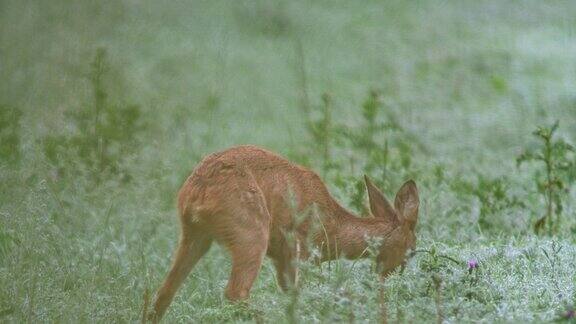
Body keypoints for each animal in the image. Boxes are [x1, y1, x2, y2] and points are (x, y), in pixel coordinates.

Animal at [148, 145, 418, 322]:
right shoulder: (302, 251)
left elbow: (291, 293)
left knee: (163, 293)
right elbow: (300, 293)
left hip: (195, 235)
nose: (392, 278)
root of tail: (197, 192)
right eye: (412, 250)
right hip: (251, 231)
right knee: (235, 292)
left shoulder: (282, 259)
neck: (333, 227)